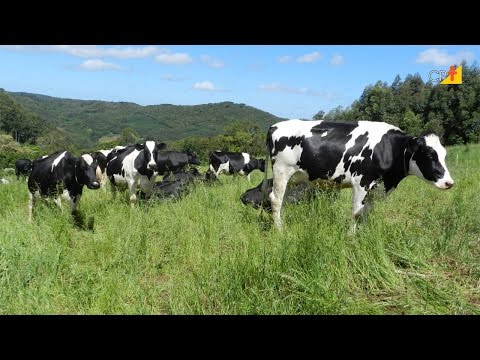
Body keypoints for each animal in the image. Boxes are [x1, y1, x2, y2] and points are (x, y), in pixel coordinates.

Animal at [264, 118, 456, 231]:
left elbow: (366, 212)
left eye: (444, 154)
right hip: (281, 171)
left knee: (284, 200)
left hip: (294, 179)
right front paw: (351, 237)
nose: (449, 183)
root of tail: (275, 125)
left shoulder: (375, 188)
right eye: (429, 155)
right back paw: (280, 231)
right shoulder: (361, 182)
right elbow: (356, 213)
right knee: (275, 199)